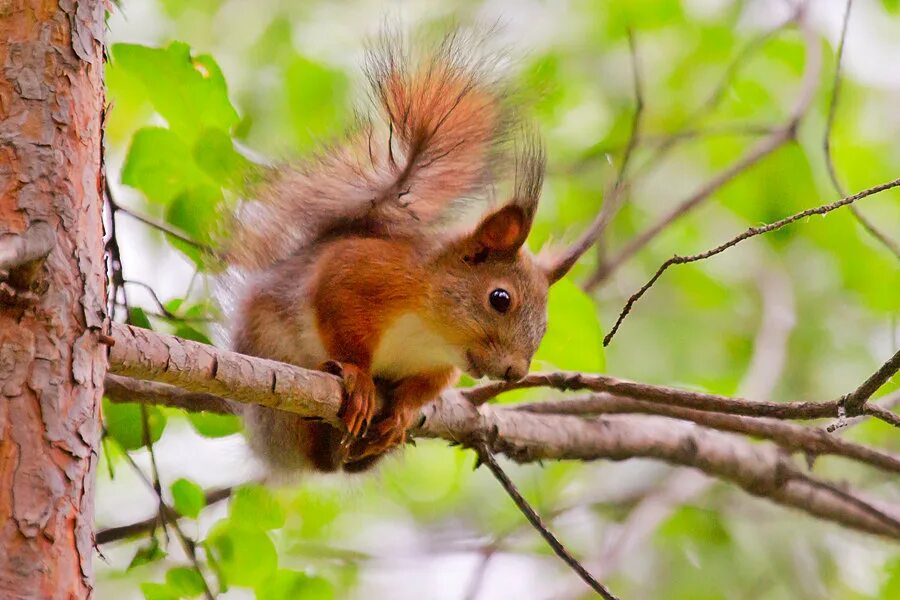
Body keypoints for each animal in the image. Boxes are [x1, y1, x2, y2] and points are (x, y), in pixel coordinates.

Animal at [223, 30, 556, 474]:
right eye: (500, 298)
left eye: (546, 324)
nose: (515, 373)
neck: (431, 330)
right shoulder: (360, 274)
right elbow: (340, 319)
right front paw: (359, 378)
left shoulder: (439, 365)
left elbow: (424, 389)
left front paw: (401, 413)